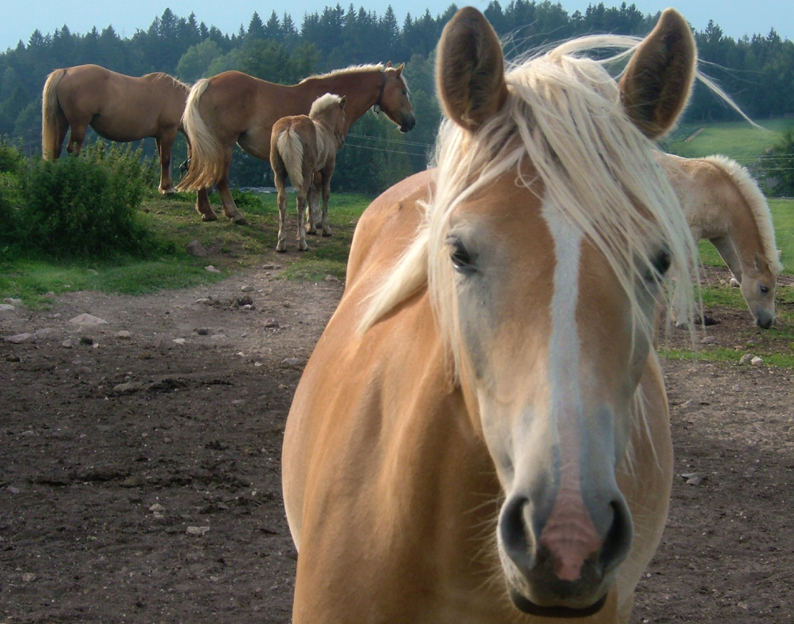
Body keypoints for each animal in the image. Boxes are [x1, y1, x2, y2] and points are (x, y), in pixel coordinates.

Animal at [42, 64, 191, 194]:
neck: (177, 97)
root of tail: (66, 71)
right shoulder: (168, 132)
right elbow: (165, 160)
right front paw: (167, 189)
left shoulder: (159, 136)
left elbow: (161, 159)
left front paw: (163, 187)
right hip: (79, 124)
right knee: (73, 150)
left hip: (62, 122)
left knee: (56, 149)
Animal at [176, 61, 414, 225]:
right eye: (403, 91)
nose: (411, 122)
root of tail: (208, 83)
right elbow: (315, 188)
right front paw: (313, 220)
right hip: (224, 145)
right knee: (220, 178)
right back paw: (234, 214)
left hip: (206, 145)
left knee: (199, 170)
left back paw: (206, 211)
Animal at [270, 92, 346, 251]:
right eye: (344, 115)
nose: (342, 140)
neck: (324, 127)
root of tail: (290, 127)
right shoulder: (327, 170)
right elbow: (325, 194)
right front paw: (325, 229)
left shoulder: (311, 173)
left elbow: (311, 193)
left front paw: (311, 227)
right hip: (304, 172)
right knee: (300, 198)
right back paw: (302, 242)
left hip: (279, 173)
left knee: (282, 199)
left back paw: (281, 243)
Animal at [656, 154, 780, 330]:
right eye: (764, 288)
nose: (768, 322)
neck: (720, 193)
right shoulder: (691, 230)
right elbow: (686, 269)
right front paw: (681, 318)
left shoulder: (721, 237)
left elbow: (735, 268)